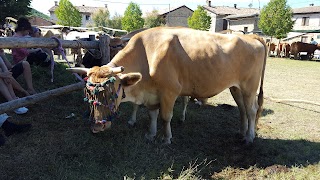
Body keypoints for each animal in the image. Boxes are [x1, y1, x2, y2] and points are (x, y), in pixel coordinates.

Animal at [68, 26, 268, 144]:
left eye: (112, 93)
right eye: (88, 94)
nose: (96, 126)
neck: (147, 53)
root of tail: (252, 37)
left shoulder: (170, 91)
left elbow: (165, 116)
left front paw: (166, 138)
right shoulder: (152, 93)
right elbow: (152, 114)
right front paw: (151, 134)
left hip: (249, 86)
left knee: (251, 110)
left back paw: (249, 137)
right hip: (236, 87)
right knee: (242, 109)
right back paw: (241, 133)